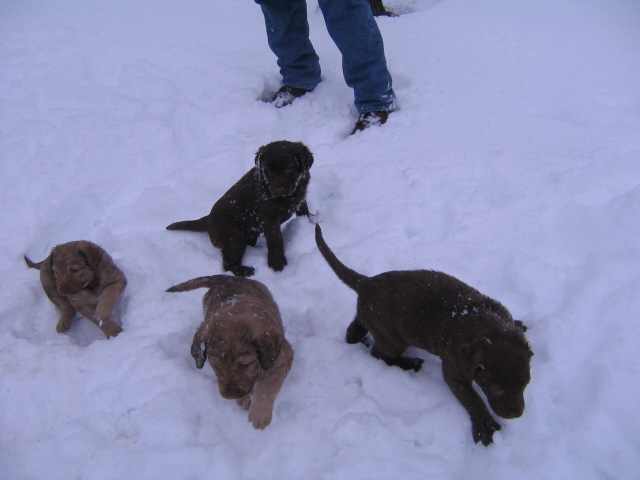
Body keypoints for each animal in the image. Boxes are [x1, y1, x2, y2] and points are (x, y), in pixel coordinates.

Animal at [166, 139, 314, 278]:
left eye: (289, 167)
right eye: (267, 169)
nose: (278, 189)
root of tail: (207, 219)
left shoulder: (301, 199)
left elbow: (304, 212)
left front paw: (310, 223)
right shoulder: (270, 217)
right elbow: (275, 238)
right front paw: (276, 262)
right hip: (235, 236)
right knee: (228, 263)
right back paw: (244, 270)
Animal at [166, 276, 294, 430]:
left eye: (244, 365)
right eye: (216, 366)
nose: (230, 395)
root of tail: (228, 278)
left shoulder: (280, 360)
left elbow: (266, 390)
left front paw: (259, 417)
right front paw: (245, 400)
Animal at [314, 225, 528, 446]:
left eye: (526, 384)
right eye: (496, 390)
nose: (517, 414)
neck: (486, 324)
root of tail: (367, 282)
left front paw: (519, 325)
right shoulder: (455, 371)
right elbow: (473, 400)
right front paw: (487, 428)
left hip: (370, 317)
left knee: (355, 327)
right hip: (393, 339)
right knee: (378, 354)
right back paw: (410, 363)